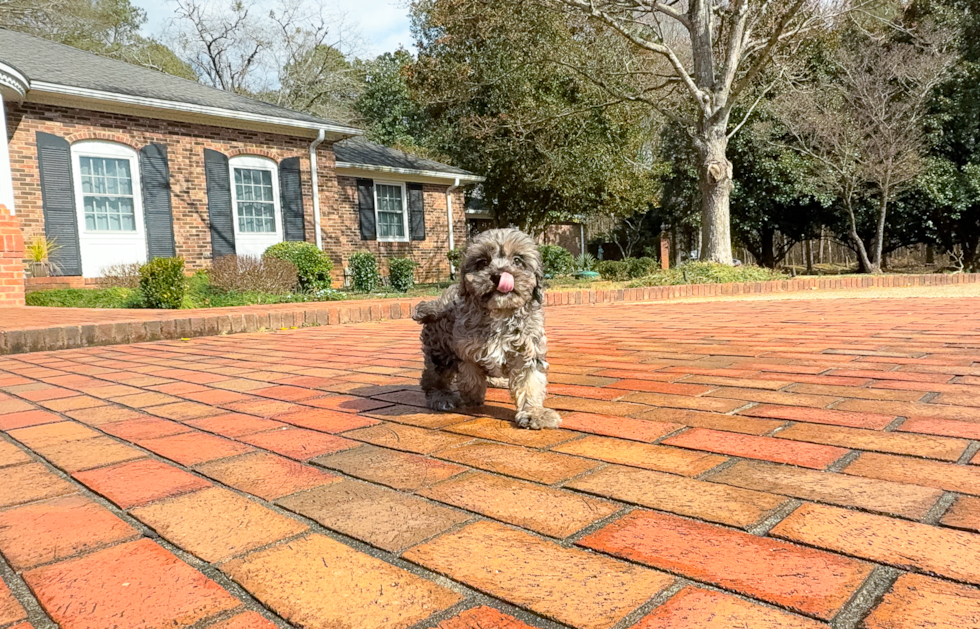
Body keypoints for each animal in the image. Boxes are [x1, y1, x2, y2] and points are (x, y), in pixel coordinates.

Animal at [412, 228, 564, 430]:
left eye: (517, 260)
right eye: (483, 262)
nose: (499, 275)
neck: (500, 313)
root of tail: (437, 302)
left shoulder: (528, 350)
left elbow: (530, 383)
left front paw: (534, 413)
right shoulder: (464, 347)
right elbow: (470, 373)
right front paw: (473, 394)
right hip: (440, 350)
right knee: (434, 376)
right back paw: (441, 396)